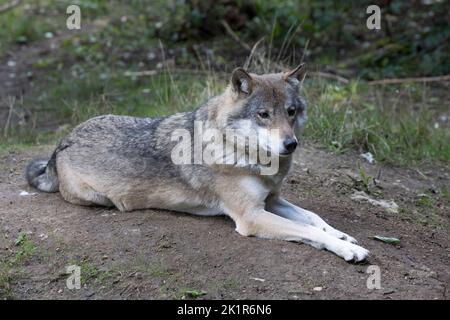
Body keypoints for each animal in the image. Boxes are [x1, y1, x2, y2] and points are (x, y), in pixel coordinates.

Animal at [25, 65, 370, 262]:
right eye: (263, 115)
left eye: (291, 112)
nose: (291, 144)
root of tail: (62, 141)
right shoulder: (251, 216)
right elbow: (308, 230)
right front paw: (349, 250)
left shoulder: (272, 200)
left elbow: (313, 218)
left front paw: (343, 236)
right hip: (99, 198)